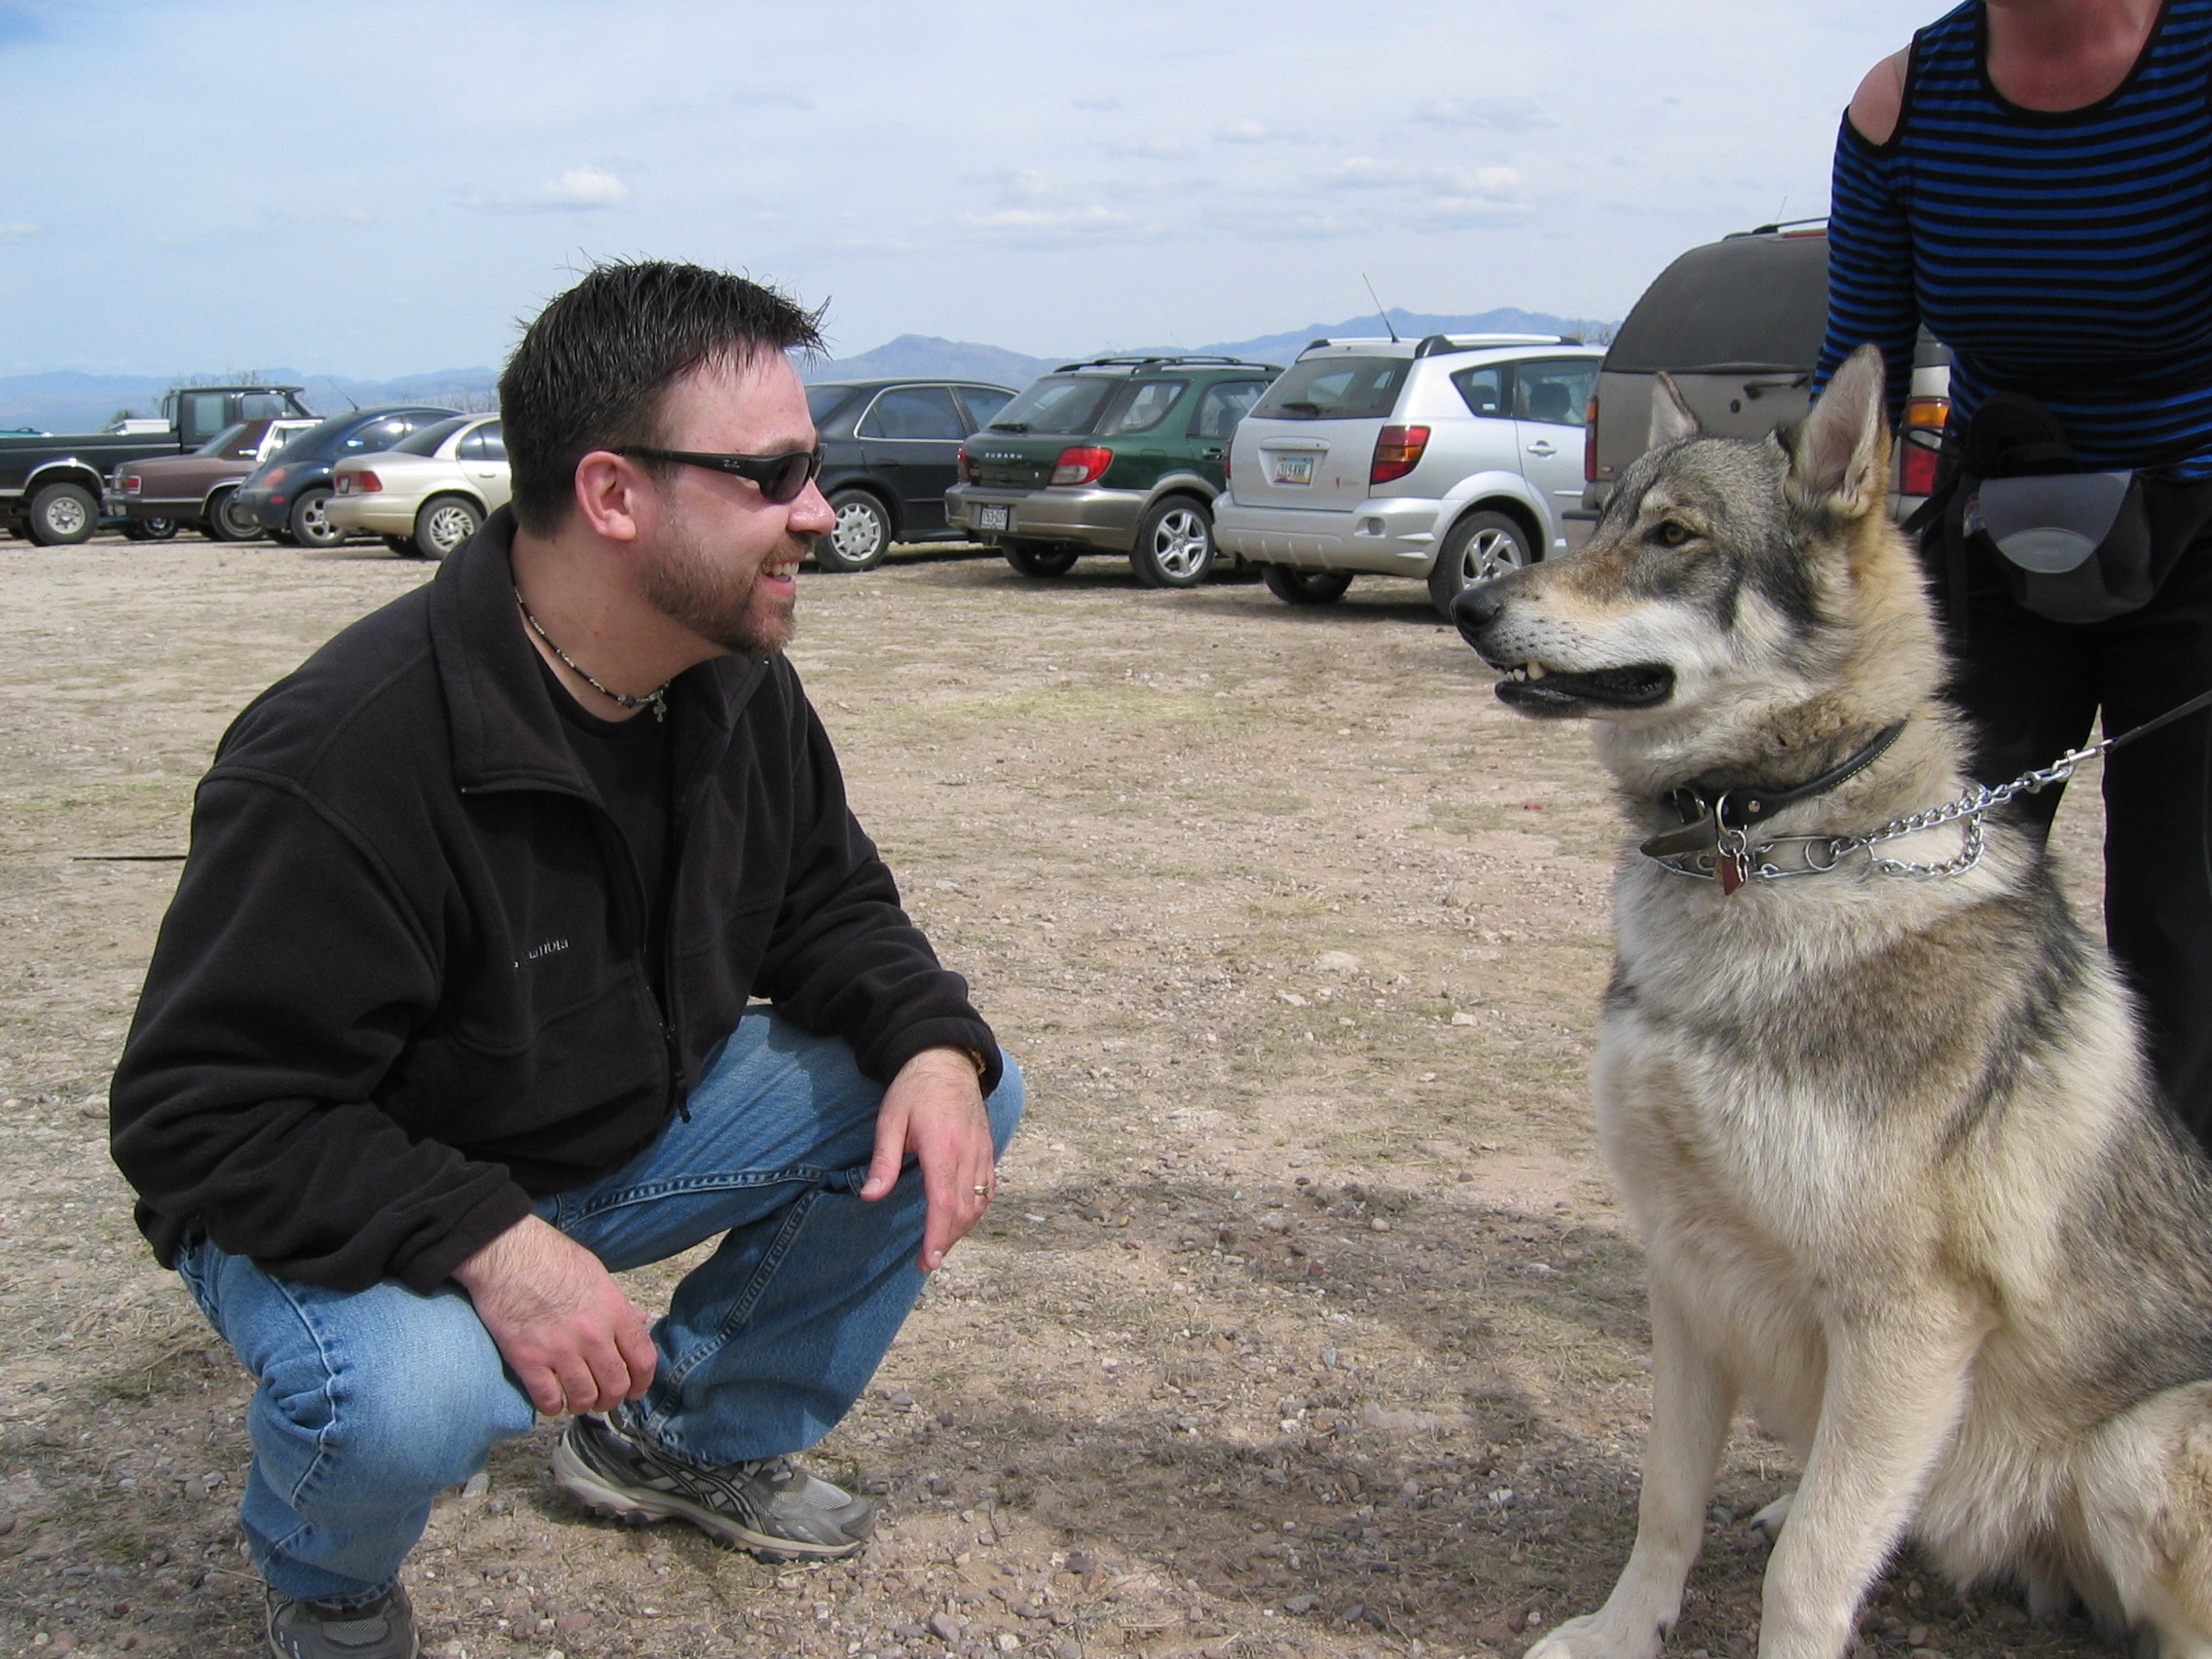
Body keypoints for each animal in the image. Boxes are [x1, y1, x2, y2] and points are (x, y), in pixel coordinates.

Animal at [1451, 345, 2212, 1654]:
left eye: (1674, 535)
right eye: (1601, 517)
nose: (1468, 605)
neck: (1767, 853)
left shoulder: (1906, 1325)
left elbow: (1807, 1575)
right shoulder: (1686, 1265)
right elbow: (1667, 1499)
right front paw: (1621, 1631)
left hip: (2141, 1449)